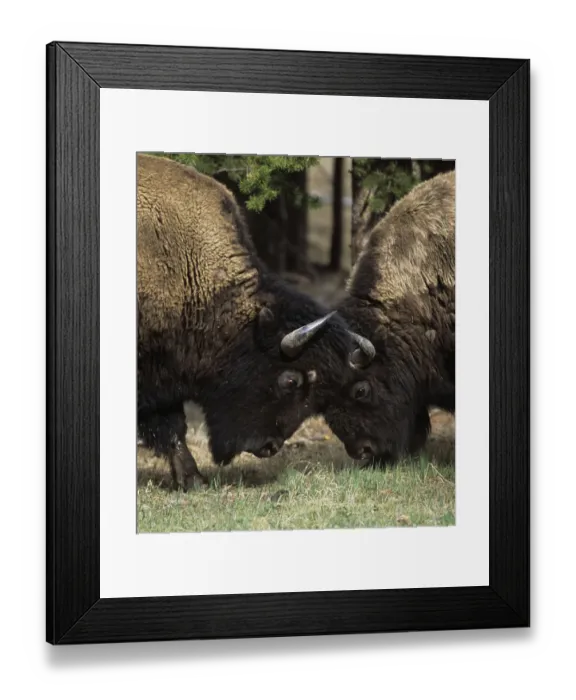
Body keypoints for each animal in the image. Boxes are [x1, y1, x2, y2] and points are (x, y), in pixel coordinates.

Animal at [136, 154, 374, 489]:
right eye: (291, 380)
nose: (269, 446)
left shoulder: (163, 374)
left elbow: (172, 426)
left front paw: (193, 479)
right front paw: (193, 477)